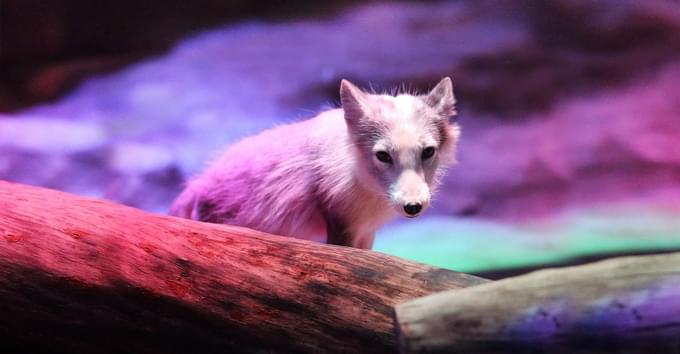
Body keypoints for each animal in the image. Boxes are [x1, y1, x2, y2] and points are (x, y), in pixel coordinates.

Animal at [169, 77, 462, 249]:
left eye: (427, 152)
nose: (413, 207)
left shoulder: (365, 232)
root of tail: (197, 183)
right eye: (383, 156)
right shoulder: (340, 224)